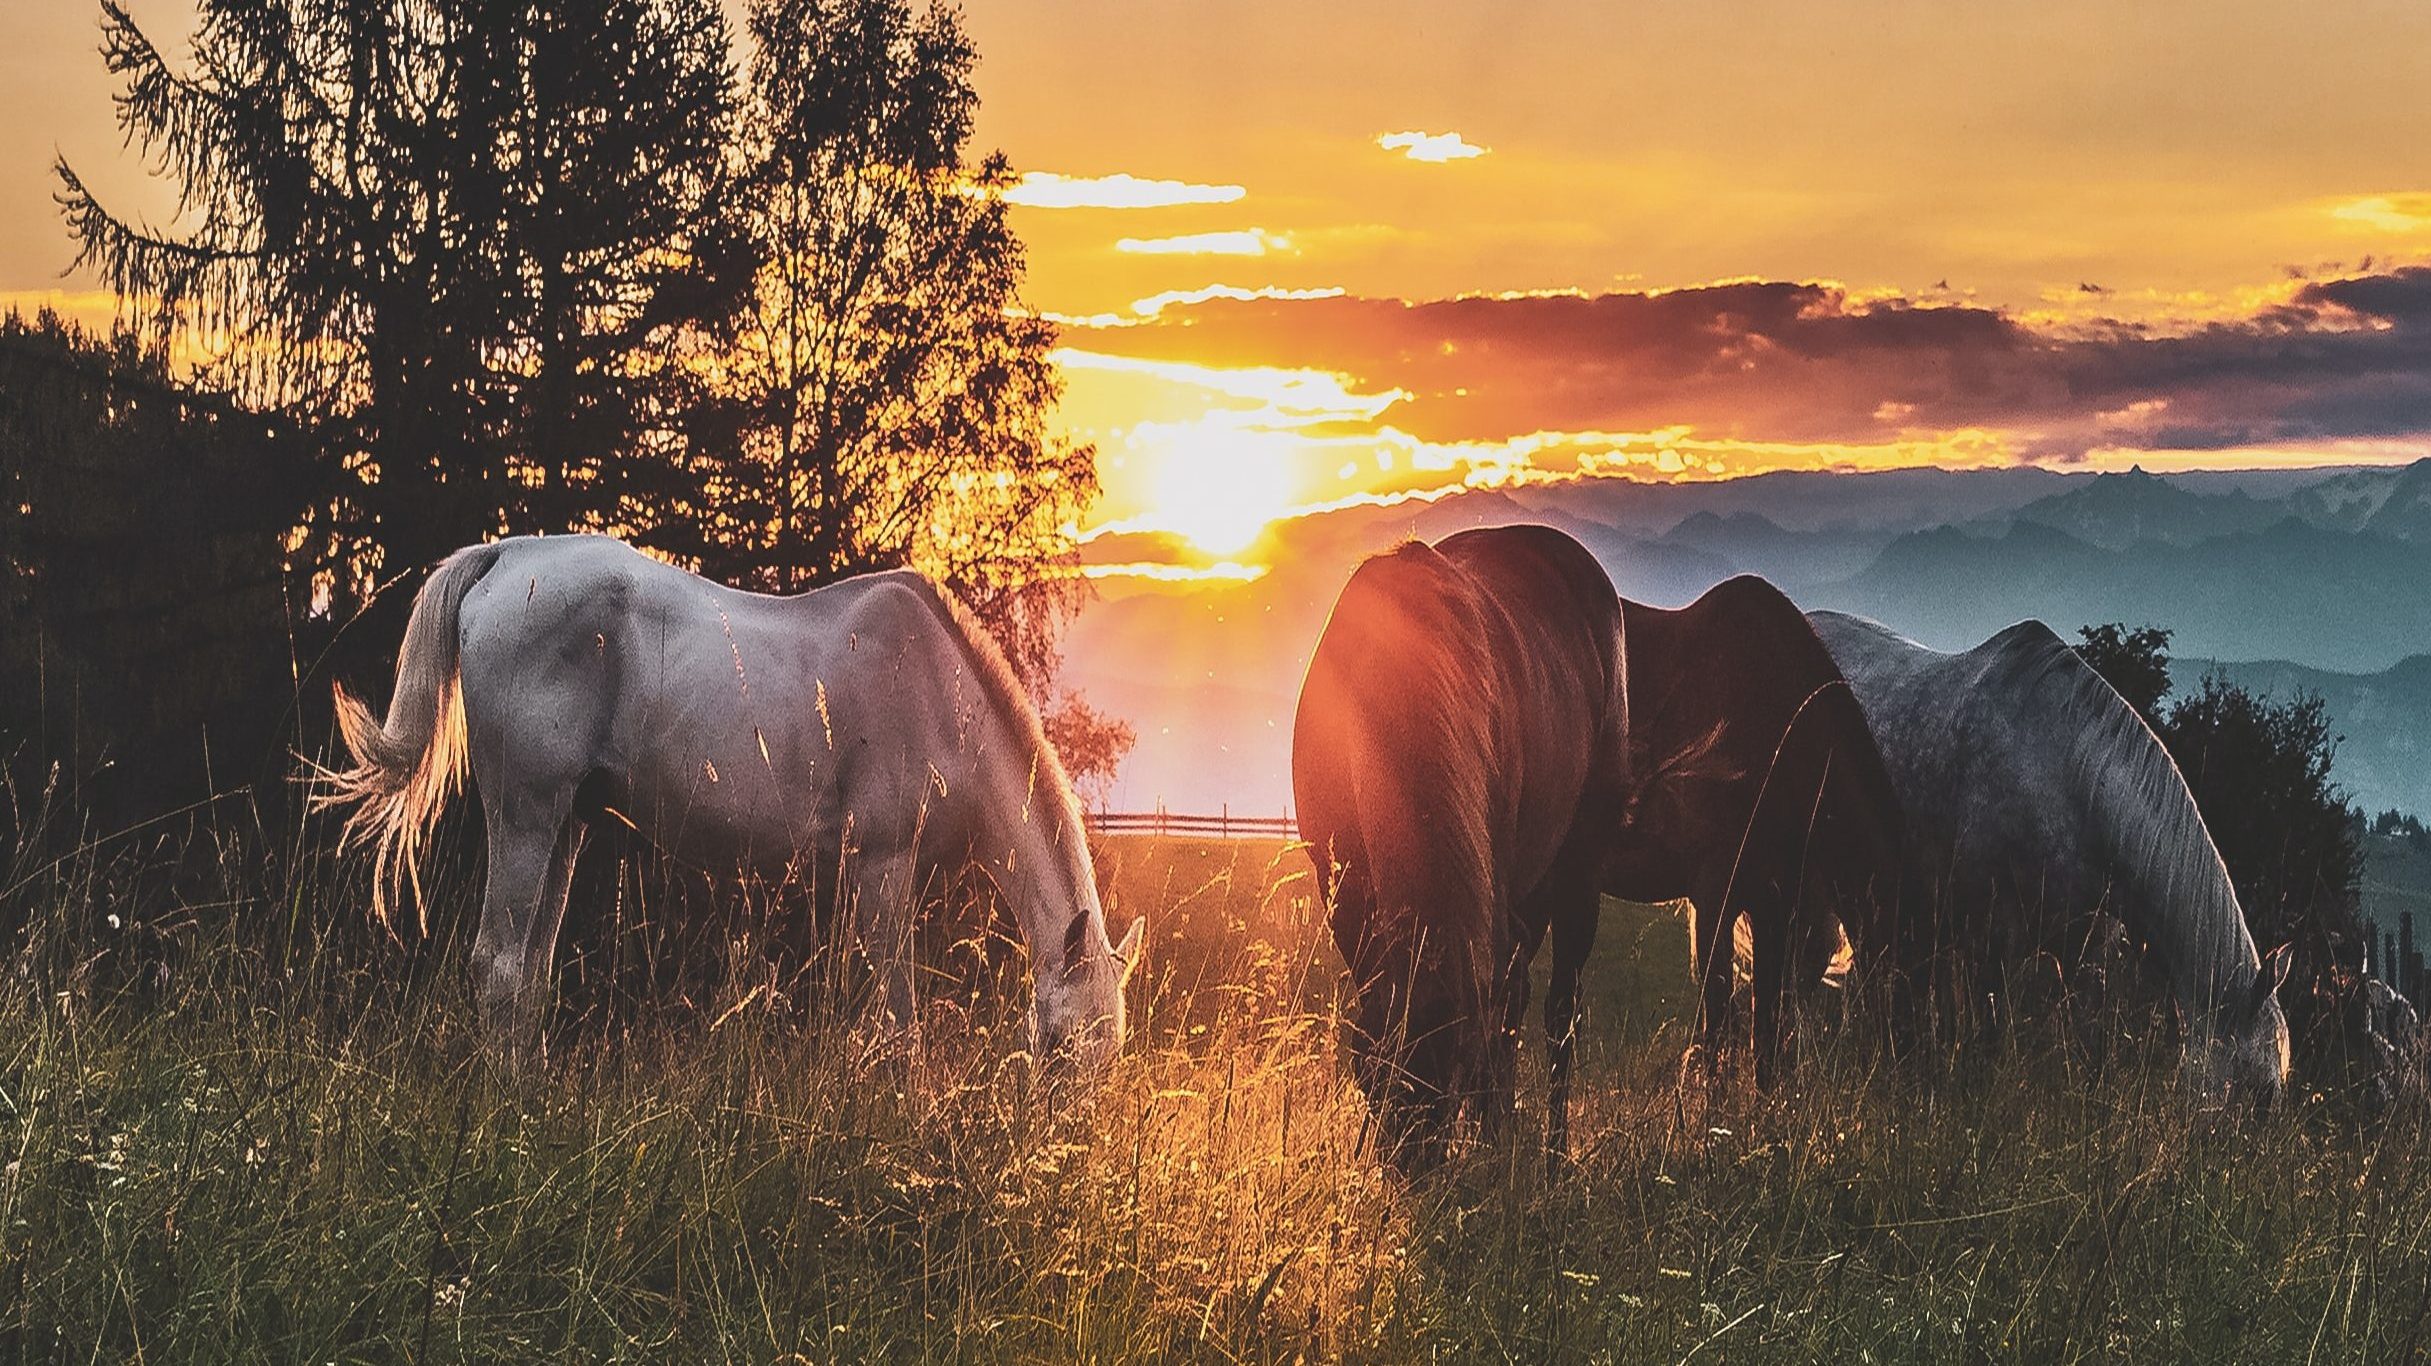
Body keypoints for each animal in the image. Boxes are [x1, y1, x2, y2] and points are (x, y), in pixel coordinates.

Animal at [318, 532, 1142, 1074]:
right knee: (499, 966)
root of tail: (507, 557)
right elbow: (897, 1021)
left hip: (566, 825)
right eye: (1061, 1046)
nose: (1066, 1153)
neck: (941, 695)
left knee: (530, 975)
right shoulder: (882, 865)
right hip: (524, 814)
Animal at [1293, 527, 1633, 1166]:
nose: (1414, 1172)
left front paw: (1492, 1133)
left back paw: (1549, 1153)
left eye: (1448, 1087)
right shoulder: (1343, 891)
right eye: (1374, 1080)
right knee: (1517, 997)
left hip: (1578, 874)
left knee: (1557, 1013)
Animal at [1808, 612, 2294, 1098]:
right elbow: (1989, 1035)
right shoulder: (1992, 939)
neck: (2067, 780)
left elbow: (2092, 1045)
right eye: (2258, 1090)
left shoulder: (2087, 951)